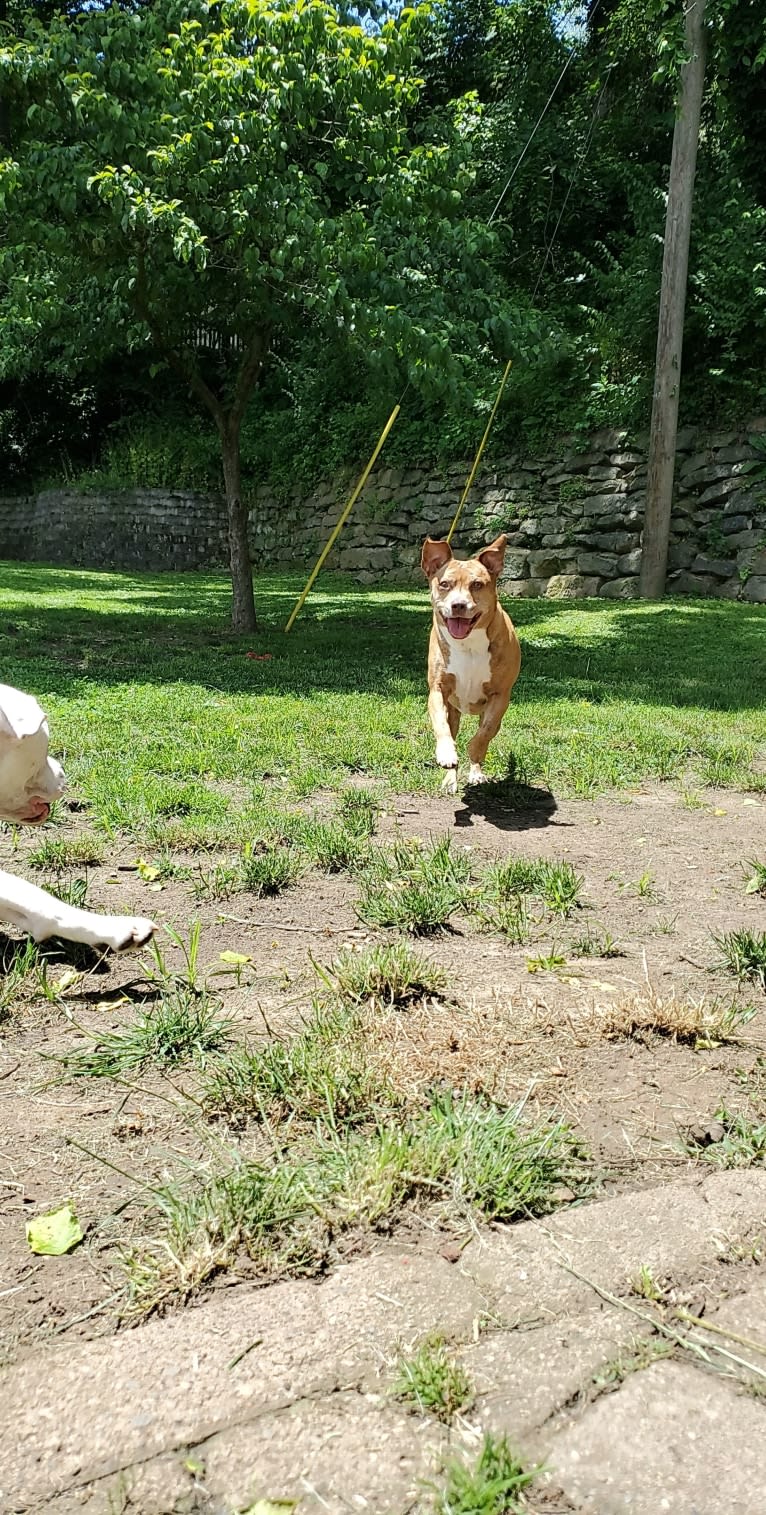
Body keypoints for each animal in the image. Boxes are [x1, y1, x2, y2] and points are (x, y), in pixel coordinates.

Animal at [417, 533, 520, 793]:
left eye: (477, 585)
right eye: (444, 584)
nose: (459, 605)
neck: (468, 644)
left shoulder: (500, 696)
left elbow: (485, 734)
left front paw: (474, 753)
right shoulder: (438, 690)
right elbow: (441, 727)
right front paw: (446, 754)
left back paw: (476, 773)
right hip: (453, 710)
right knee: (451, 729)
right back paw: (450, 779)